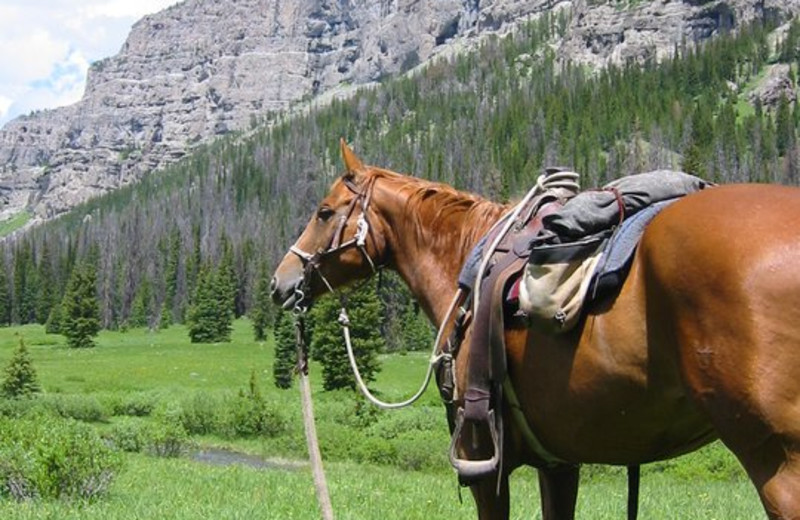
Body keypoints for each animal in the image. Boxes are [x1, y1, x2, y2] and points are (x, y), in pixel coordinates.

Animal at [272, 139, 800, 520]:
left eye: (324, 211)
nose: (281, 283)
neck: (464, 262)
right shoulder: (559, 462)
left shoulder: (483, 462)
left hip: (778, 458)